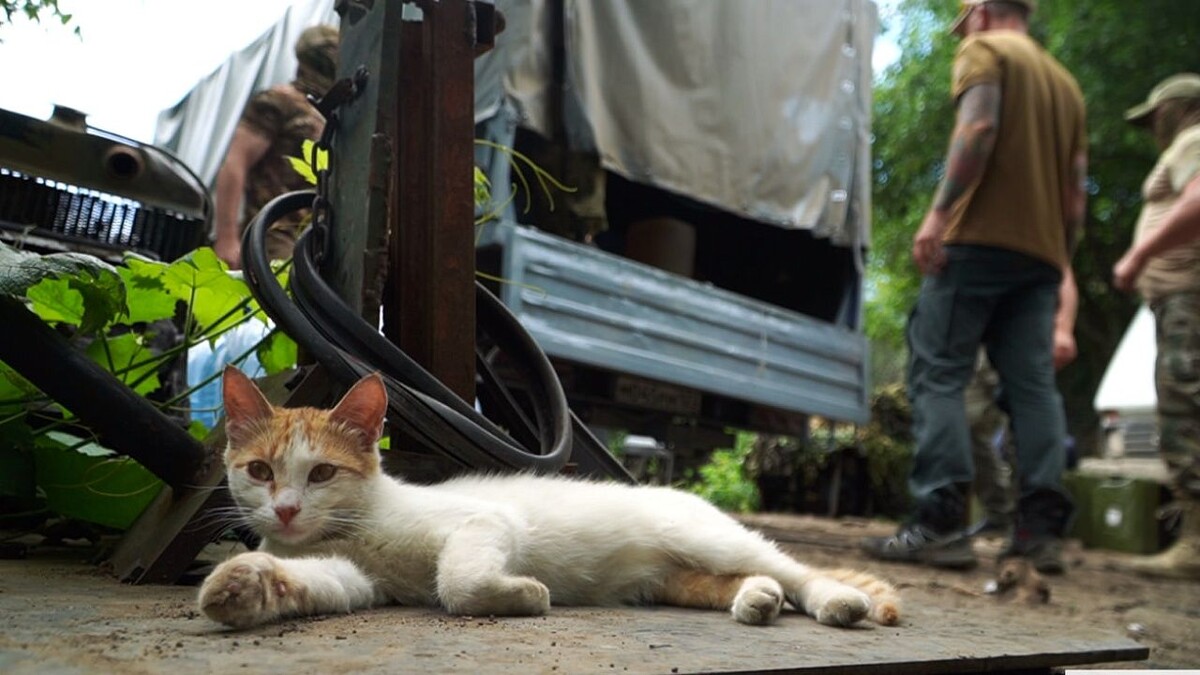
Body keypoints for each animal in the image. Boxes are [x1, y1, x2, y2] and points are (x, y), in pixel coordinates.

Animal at [199, 365, 902, 629]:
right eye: (259, 471)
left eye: (321, 474)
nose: (286, 510)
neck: (360, 523)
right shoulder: (358, 577)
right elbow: (324, 583)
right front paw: (247, 586)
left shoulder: (488, 520)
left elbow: (456, 579)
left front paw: (523, 594)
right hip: (671, 576)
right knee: (742, 578)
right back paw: (757, 599)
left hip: (705, 535)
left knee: (795, 567)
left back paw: (836, 600)